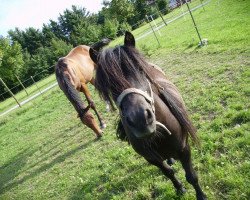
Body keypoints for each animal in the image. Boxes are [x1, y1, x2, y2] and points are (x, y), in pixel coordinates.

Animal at [90, 32, 207, 199]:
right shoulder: (152, 159)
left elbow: (192, 176)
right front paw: (179, 188)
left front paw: (201, 195)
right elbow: (168, 172)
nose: (140, 120)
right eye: (108, 85)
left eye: (140, 70)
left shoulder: (184, 149)